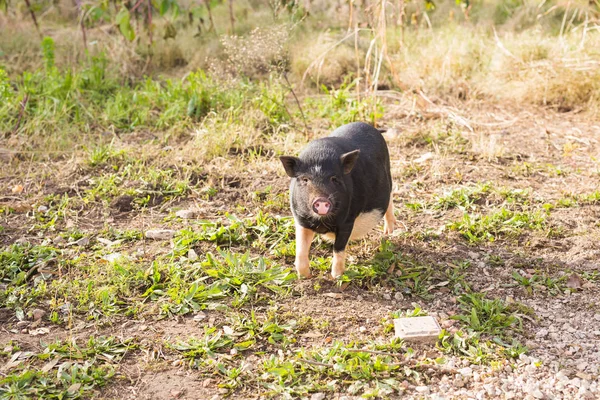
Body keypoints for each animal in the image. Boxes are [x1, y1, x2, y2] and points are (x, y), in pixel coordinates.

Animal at [280, 122, 396, 278]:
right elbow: (301, 249)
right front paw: (305, 276)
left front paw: (337, 277)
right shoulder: (301, 219)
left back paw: (389, 233)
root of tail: (374, 128)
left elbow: (339, 248)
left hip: (388, 176)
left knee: (390, 197)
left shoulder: (347, 220)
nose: (321, 200)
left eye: (334, 178)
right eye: (305, 179)